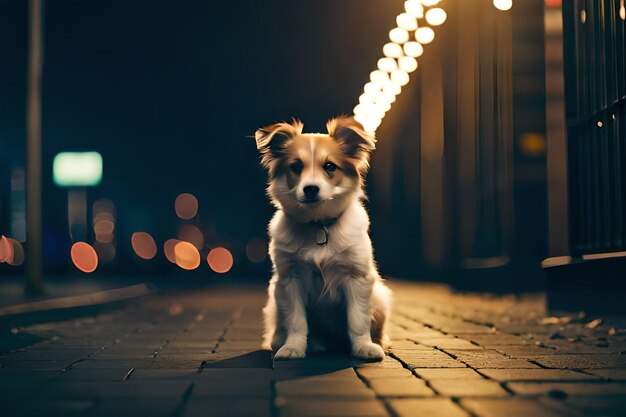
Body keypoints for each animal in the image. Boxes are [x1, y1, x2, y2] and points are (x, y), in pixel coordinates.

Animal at [254, 115, 390, 360]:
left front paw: (363, 347)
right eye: (296, 166)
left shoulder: (357, 278)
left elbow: (358, 320)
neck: (318, 225)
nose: (310, 189)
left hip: (380, 296)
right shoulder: (289, 281)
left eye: (329, 167)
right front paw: (293, 348)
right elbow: (296, 321)